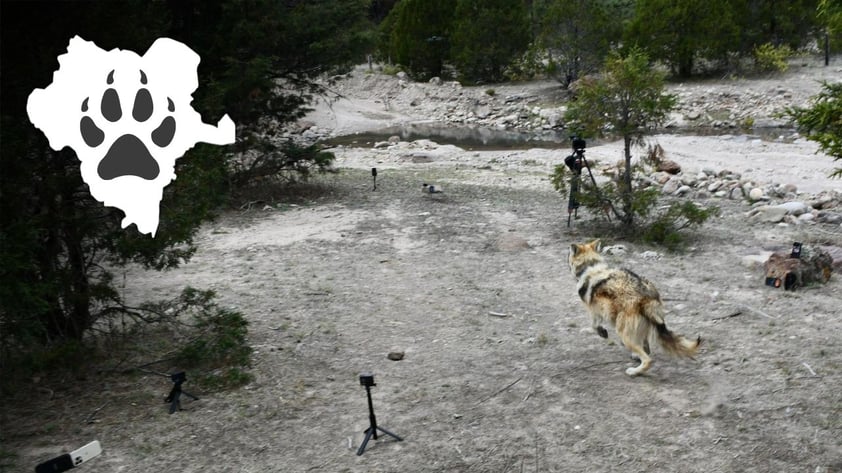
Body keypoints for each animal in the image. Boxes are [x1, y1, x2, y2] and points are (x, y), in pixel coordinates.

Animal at [568, 239, 701, 376]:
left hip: (624, 335)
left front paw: (602, 332)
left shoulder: (594, 311)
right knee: (647, 350)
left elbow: (594, 326)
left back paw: (634, 371)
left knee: (648, 359)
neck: (590, 266)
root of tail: (646, 298)